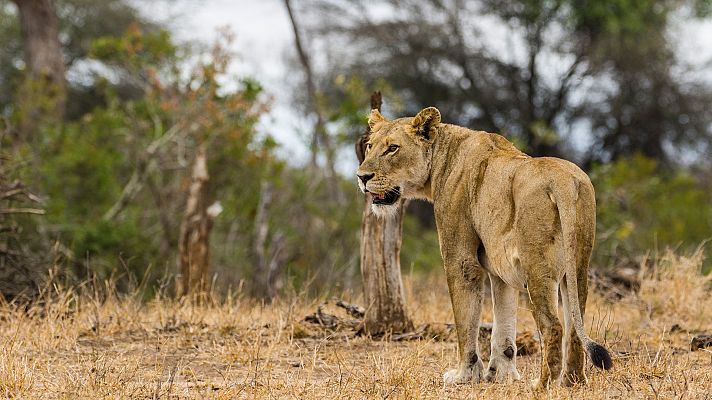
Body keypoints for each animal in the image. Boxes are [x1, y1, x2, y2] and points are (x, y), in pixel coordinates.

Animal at [356, 107, 612, 389]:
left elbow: (466, 321)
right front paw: (500, 374)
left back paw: (542, 385)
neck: (441, 158)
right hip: (577, 267)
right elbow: (503, 327)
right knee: (575, 324)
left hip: (537, 267)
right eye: (369, 146)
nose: (362, 177)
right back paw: (572, 382)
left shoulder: (460, 259)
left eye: (393, 148)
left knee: (553, 326)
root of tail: (563, 181)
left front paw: (465, 375)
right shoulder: (500, 269)